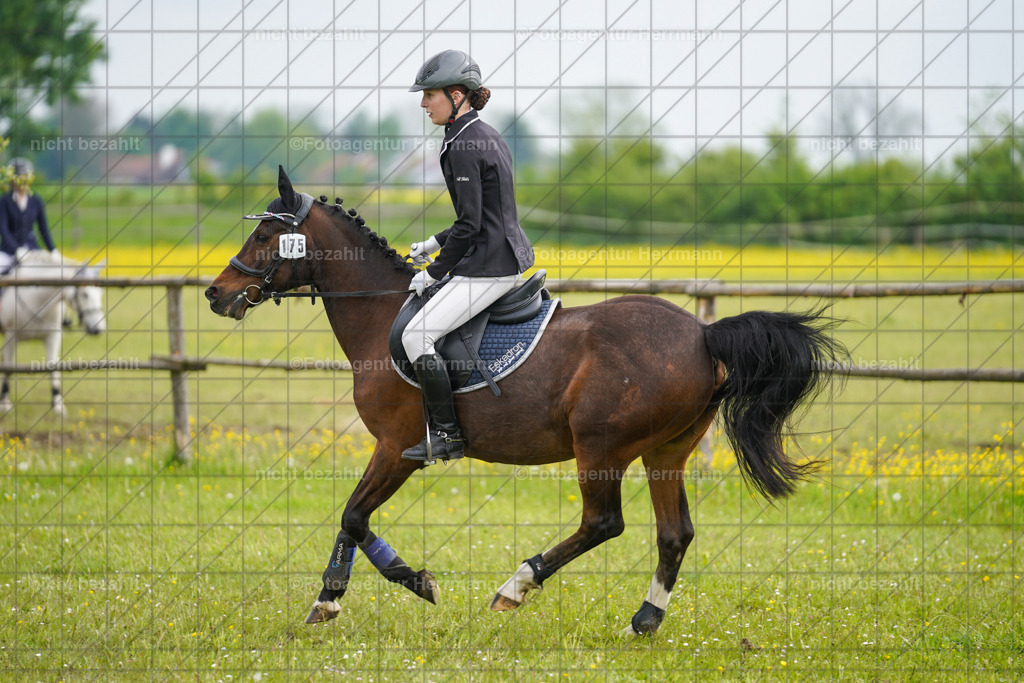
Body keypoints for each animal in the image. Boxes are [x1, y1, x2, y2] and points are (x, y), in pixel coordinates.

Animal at [0, 249, 107, 417]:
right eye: (84, 294)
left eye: (100, 292)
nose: (98, 329)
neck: (36, 301)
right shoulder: (11, 337)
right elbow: (9, 367)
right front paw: (5, 404)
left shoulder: (53, 336)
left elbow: (53, 366)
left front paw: (58, 405)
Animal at [206, 167, 846, 635]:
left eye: (264, 237)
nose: (216, 294)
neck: (379, 312)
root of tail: (703, 334)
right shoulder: (388, 449)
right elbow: (349, 516)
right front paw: (328, 598)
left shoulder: (399, 447)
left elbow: (355, 516)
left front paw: (413, 581)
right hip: (665, 452)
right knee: (674, 534)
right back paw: (643, 620)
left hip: (600, 447)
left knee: (603, 523)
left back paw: (516, 586)